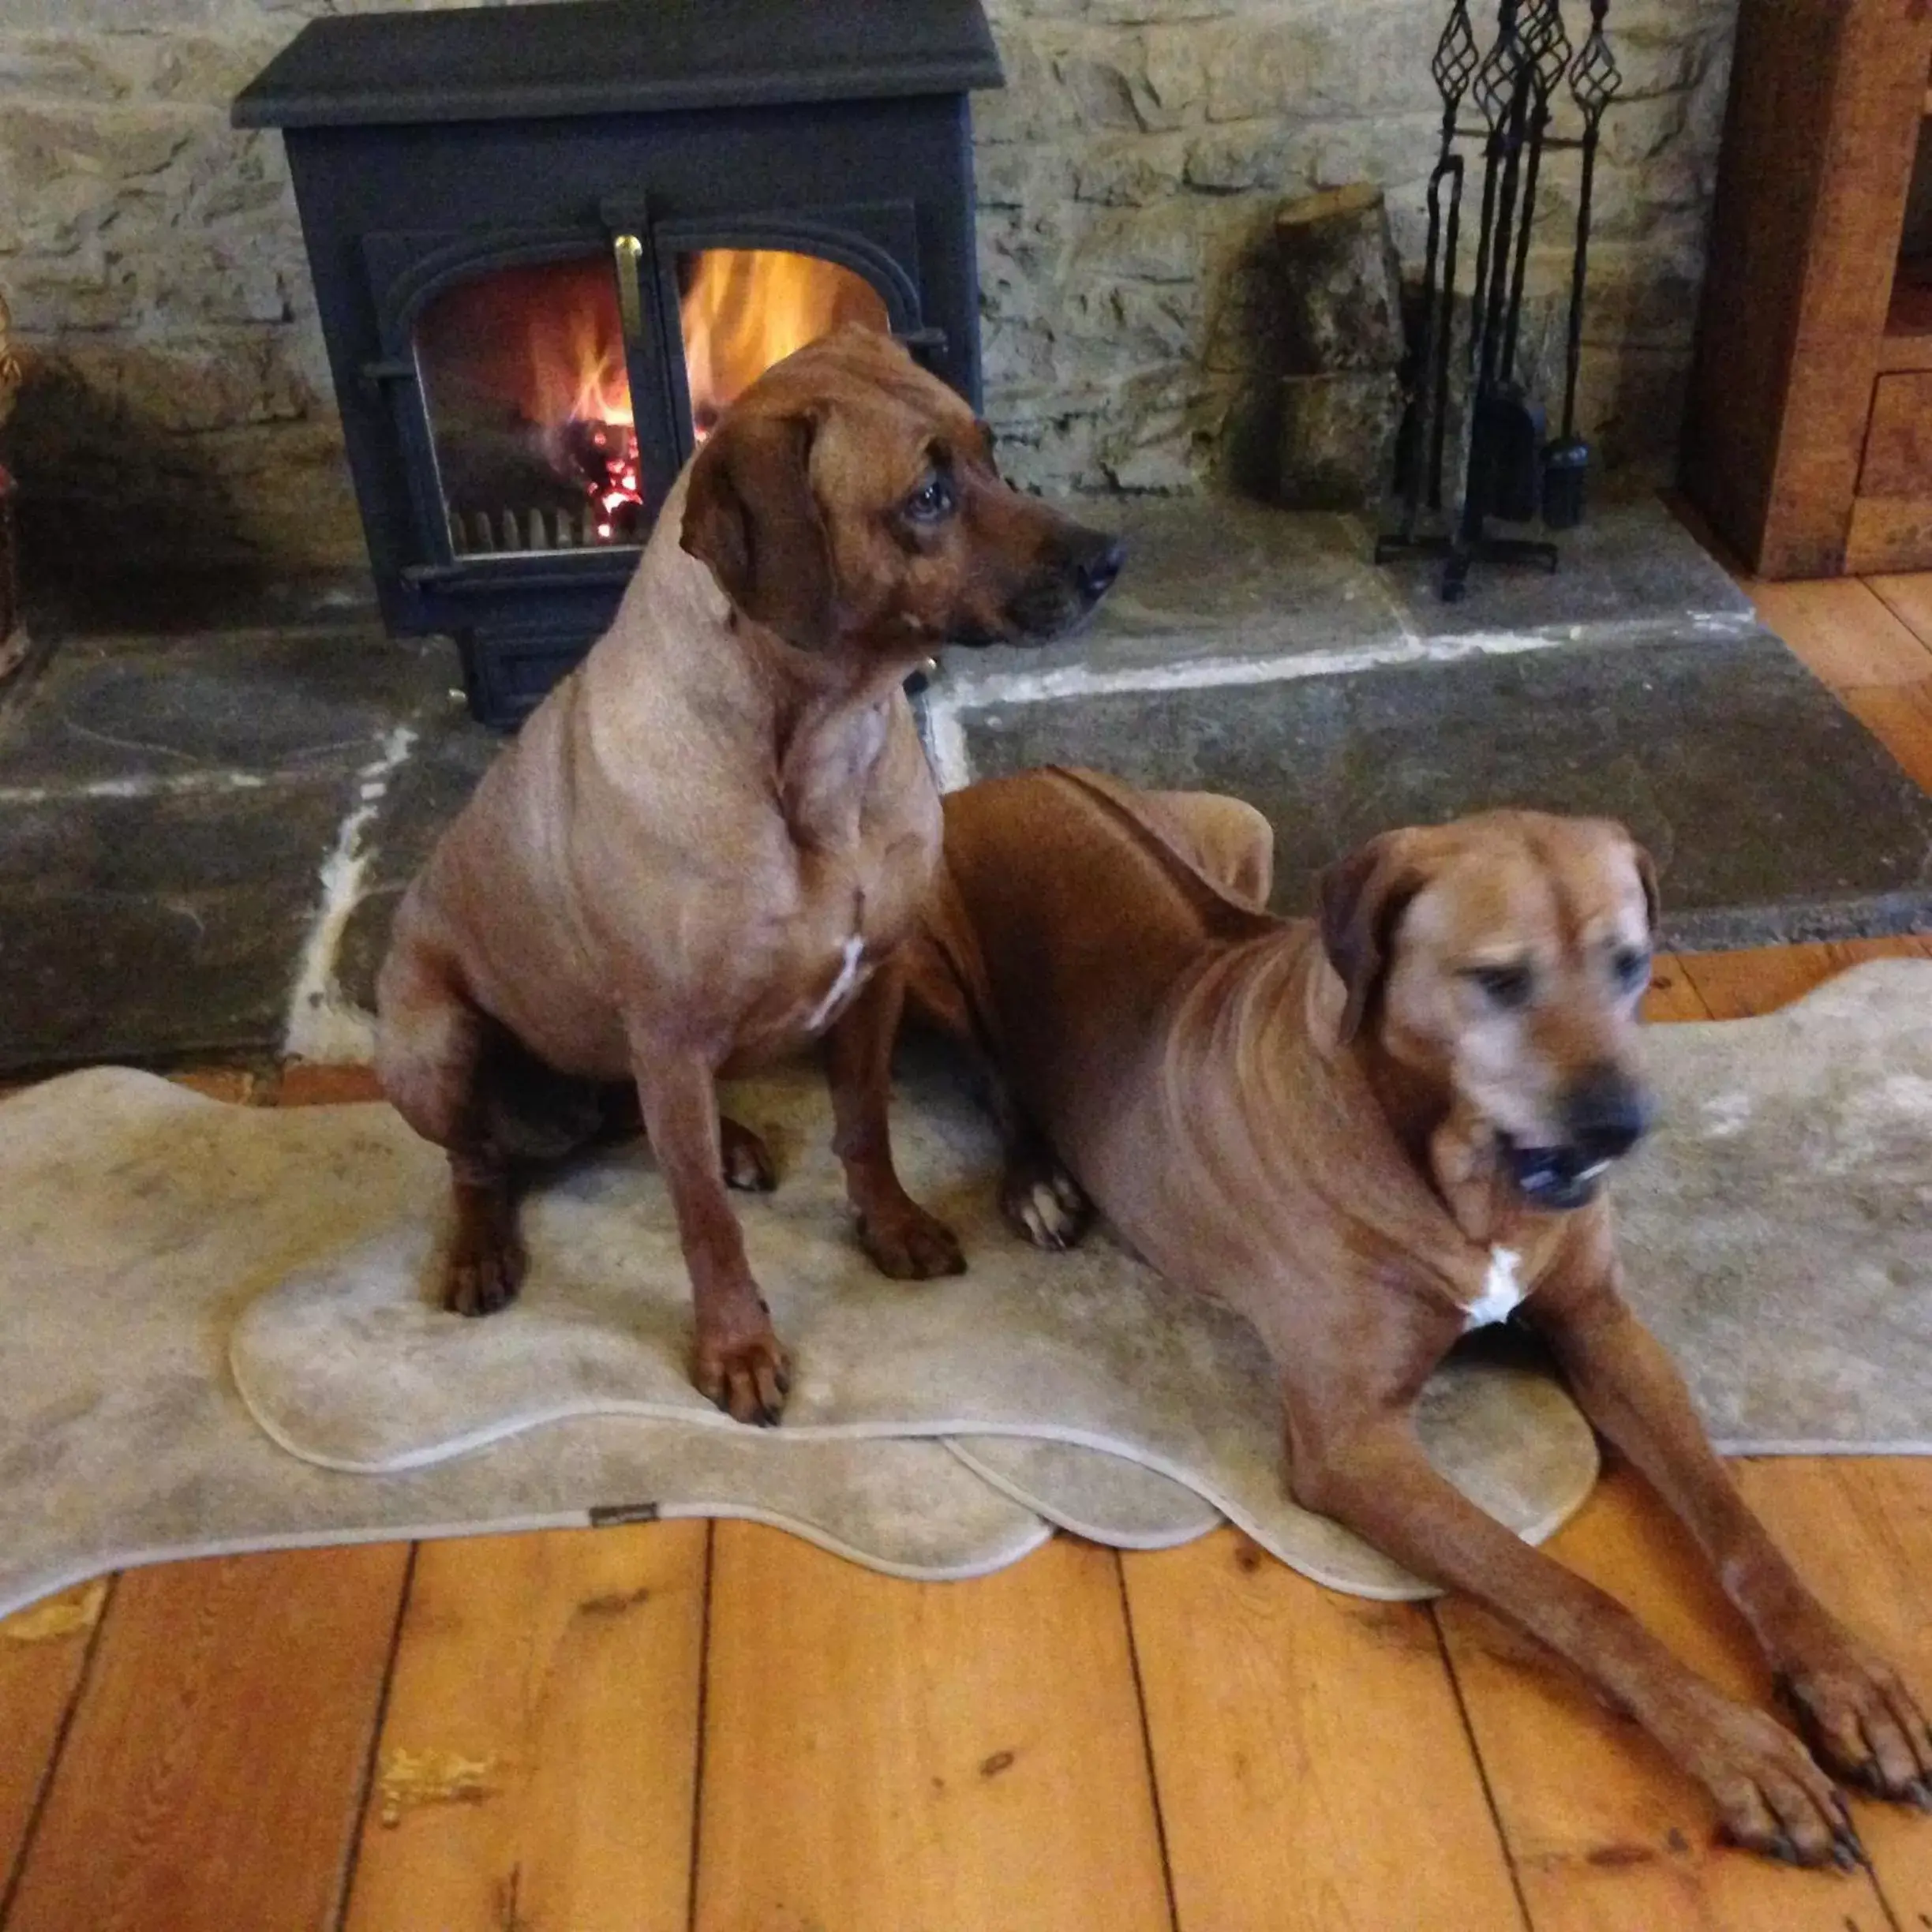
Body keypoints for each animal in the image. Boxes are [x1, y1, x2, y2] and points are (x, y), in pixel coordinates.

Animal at [374, 328, 1120, 1421]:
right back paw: (482, 1246)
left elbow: (866, 1126)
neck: (822, 743)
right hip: (432, 1044)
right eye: (928, 496)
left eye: (991, 454)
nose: (1112, 558)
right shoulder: (672, 1035)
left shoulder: (877, 980)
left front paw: (892, 1225)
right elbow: (703, 1224)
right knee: (477, 1164)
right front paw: (735, 1346)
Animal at [908, 761, 1932, 1862]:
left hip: (1241, 831)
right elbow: (1571, 1595)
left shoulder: (1605, 1326)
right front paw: (1740, 1749)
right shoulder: (1354, 1446)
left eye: (1631, 964)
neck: (1461, 1172)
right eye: (1498, 979)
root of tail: (1015, 776)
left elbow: (1737, 1521)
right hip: (915, 958)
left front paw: (1848, 1680)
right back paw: (1037, 1180)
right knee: (993, 1076)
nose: (1622, 1130)